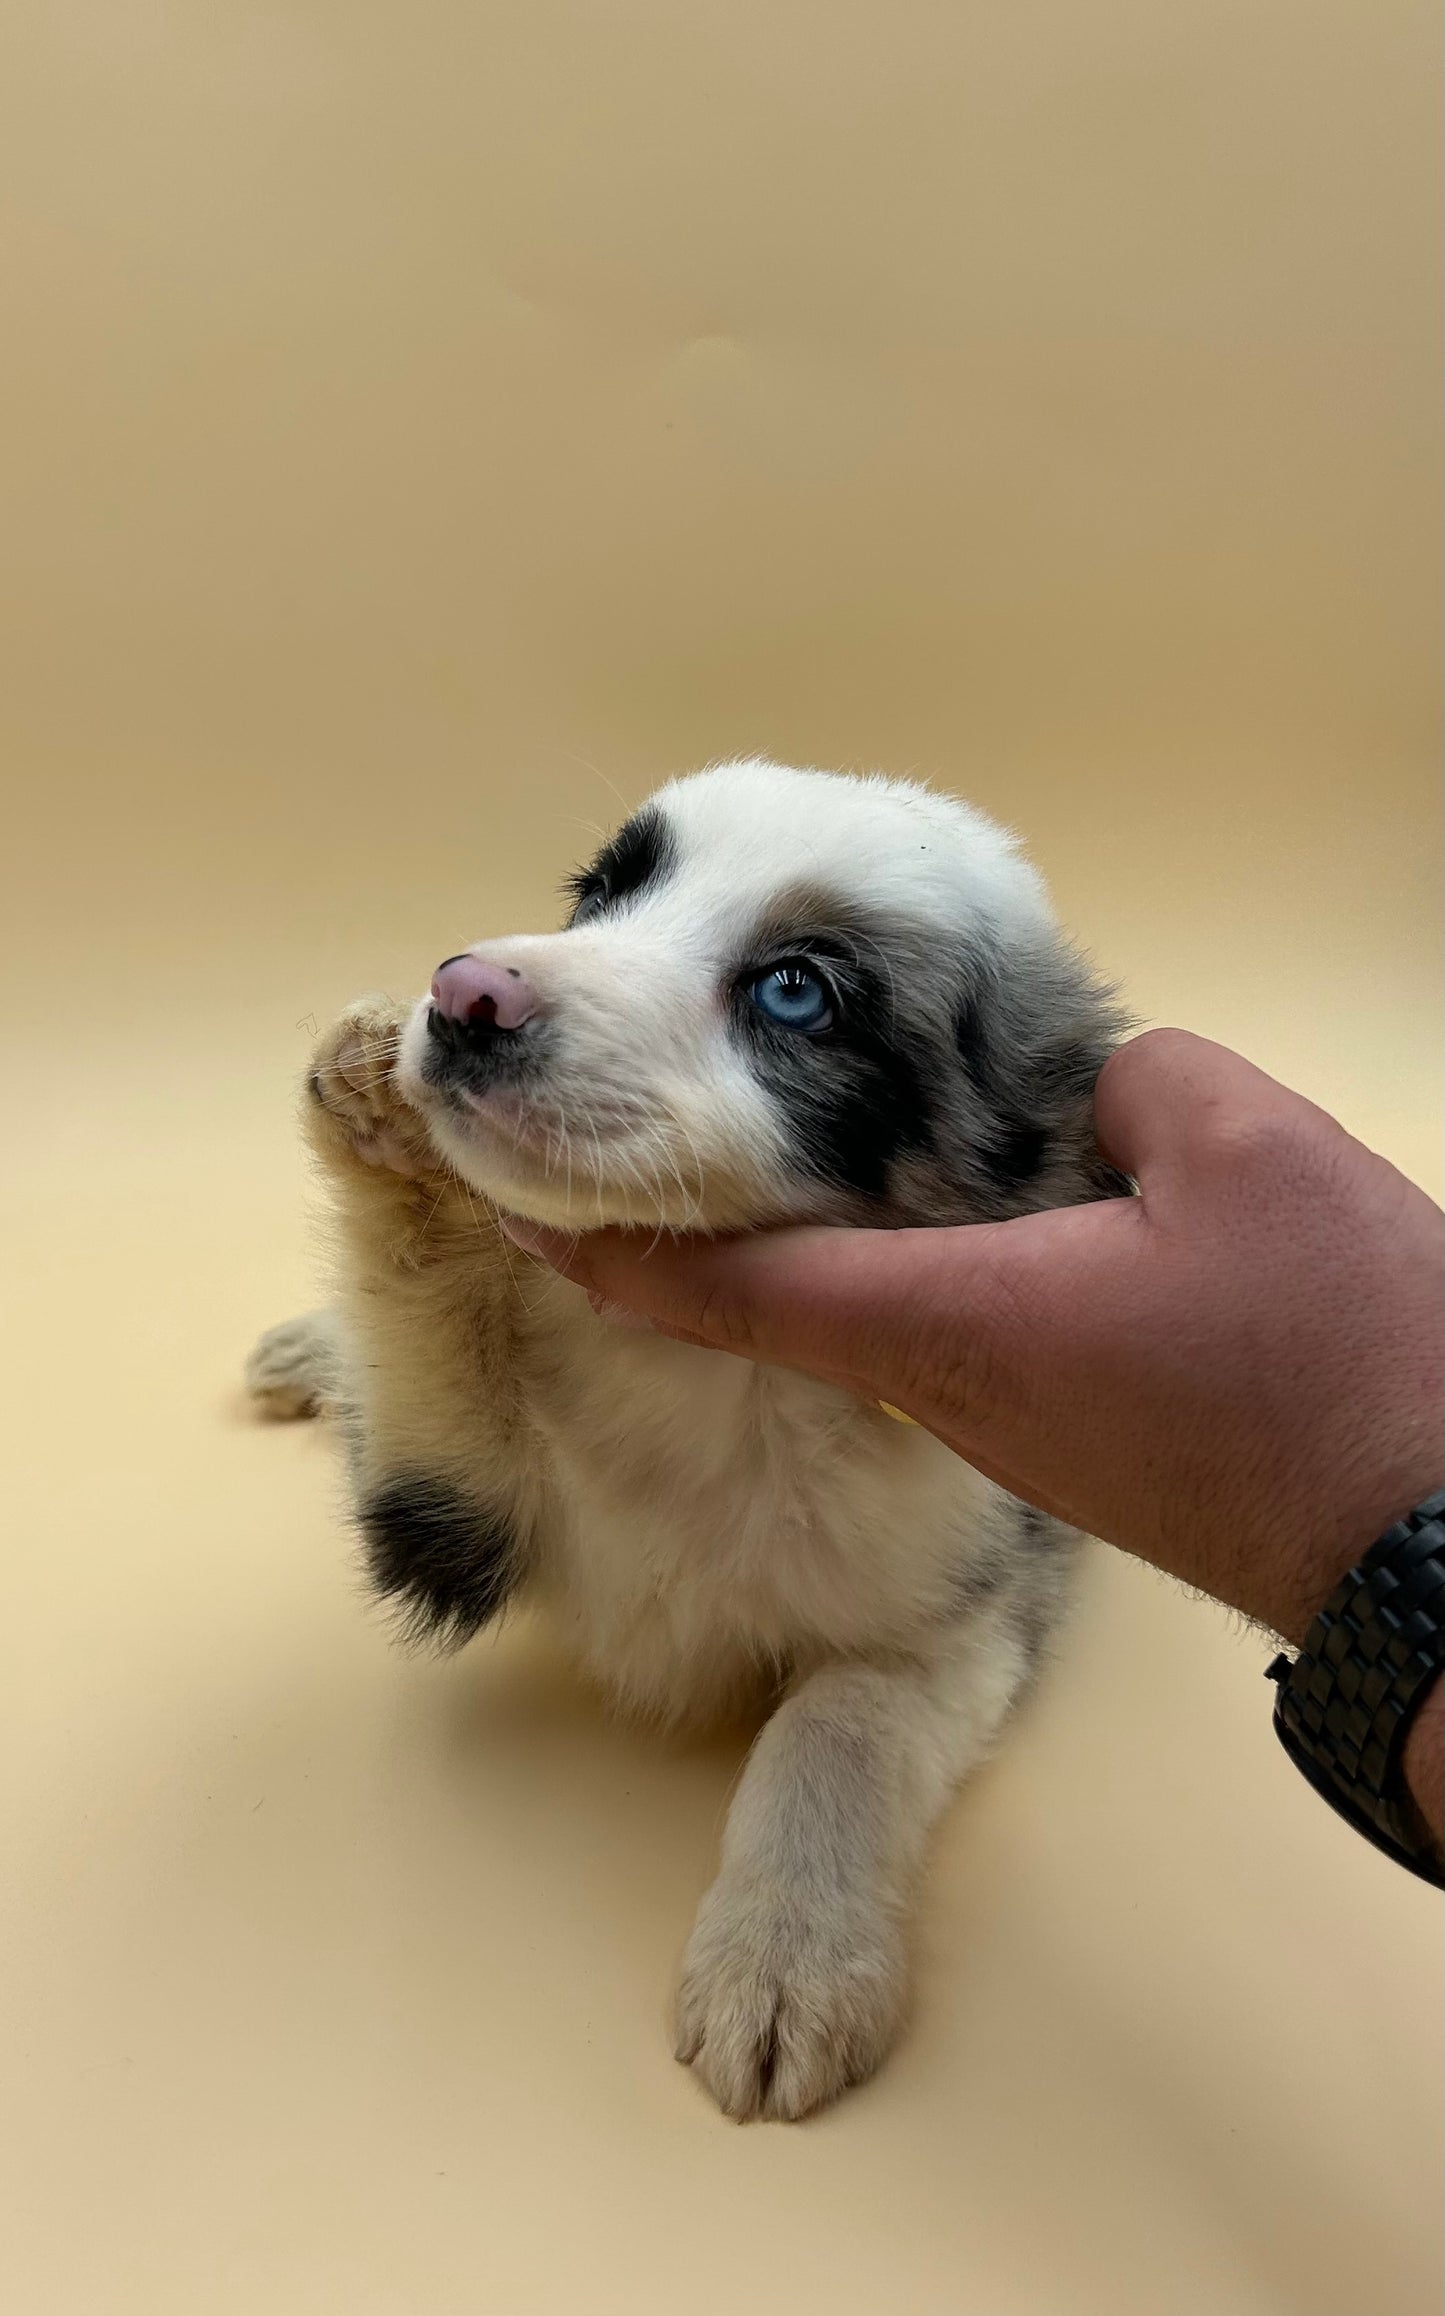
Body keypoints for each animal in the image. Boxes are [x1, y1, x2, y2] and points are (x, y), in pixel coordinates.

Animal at [251, 755, 1130, 2121]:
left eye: (795, 991)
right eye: (599, 897)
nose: (463, 996)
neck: (723, 1378)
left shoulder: (959, 1610)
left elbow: (830, 1731)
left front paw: (785, 1961)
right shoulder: (467, 1511)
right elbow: (425, 1319)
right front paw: (378, 1114)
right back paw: (311, 1348)